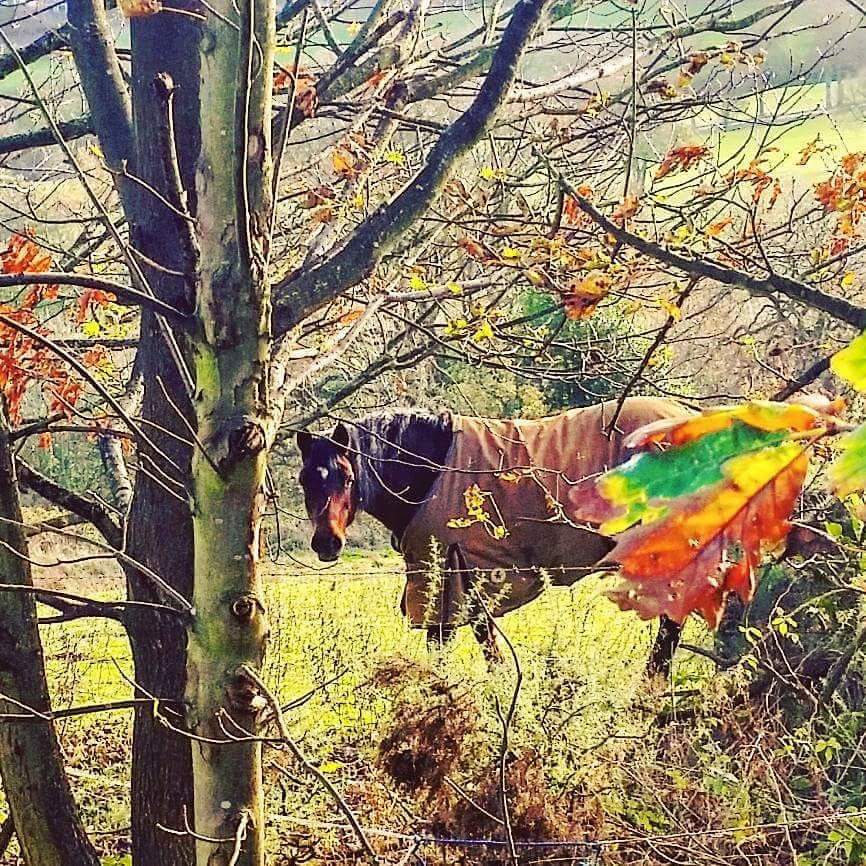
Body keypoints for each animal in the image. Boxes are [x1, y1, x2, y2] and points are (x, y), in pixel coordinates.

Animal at [297, 398, 690, 676]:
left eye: (348, 477)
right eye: (305, 480)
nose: (326, 543)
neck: (432, 472)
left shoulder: (460, 579)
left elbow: (480, 654)